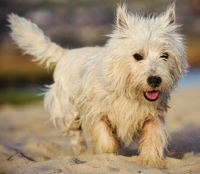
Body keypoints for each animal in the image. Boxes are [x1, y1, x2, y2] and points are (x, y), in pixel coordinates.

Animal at [8, 3, 188, 168]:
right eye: (138, 56)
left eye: (165, 55)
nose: (154, 80)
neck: (127, 91)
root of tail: (67, 53)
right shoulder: (96, 112)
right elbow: (107, 140)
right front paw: (109, 151)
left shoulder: (152, 116)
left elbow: (153, 138)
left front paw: (150, 161)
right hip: (69, 112)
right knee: (76, 136)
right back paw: (82, 153)